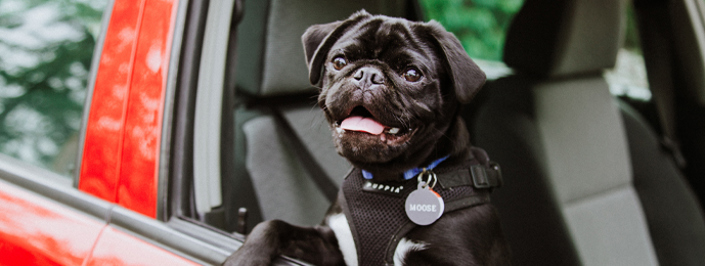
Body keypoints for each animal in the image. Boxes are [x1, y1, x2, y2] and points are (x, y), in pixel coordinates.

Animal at [224, 9, 506, 264]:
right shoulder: (331, 244)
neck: (385, 180)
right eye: (339, 61)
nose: (368, 75)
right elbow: (273, 226)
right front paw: (243, 258)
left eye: (412, 74)